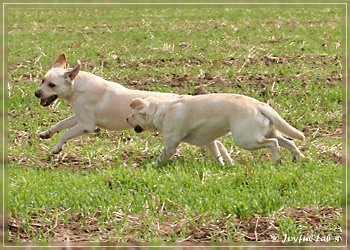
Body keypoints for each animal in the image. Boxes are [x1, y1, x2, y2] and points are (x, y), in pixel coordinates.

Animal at [35, 53, 183, 153]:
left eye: (52, 85)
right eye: (42, 81)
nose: (36, 93)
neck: (77, 87)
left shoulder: (86, 125)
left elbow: (64, 135)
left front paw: (56, 149)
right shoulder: (79, 118)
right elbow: (60, 124)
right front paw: (47, 133)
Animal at [126, 94, 304, 166]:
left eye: (133, 115)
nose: (126, 119)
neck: (160, 111)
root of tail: (259, 105)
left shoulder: (170, 146)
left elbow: (162, 157)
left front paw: (152, 166)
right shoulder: (211, 142)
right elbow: (220, 155)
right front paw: (227, 166)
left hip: (246, 140)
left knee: (274, 143)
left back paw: (276, 160)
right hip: (269, 132)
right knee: (290, 143)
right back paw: (300, 159)